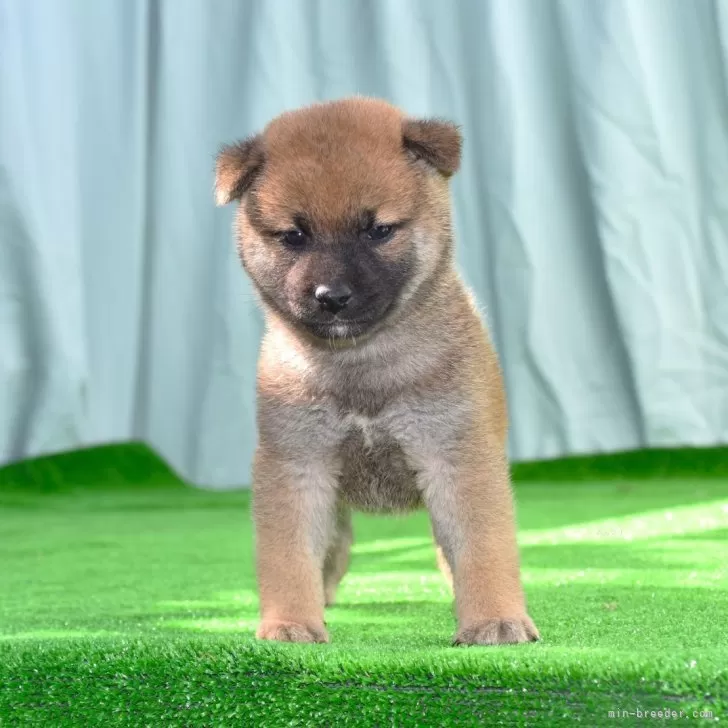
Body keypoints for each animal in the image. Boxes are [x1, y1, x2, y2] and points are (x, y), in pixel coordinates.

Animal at [213, 96, 536, 648]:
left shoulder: (457, 458)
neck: (360, 367)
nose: (332, 296)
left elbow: (482, 548)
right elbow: (287, 555)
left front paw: (493, 619)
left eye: (378, 230)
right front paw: (290, 622)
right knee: (333, 555)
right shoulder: (296, 466)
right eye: (294, 236)